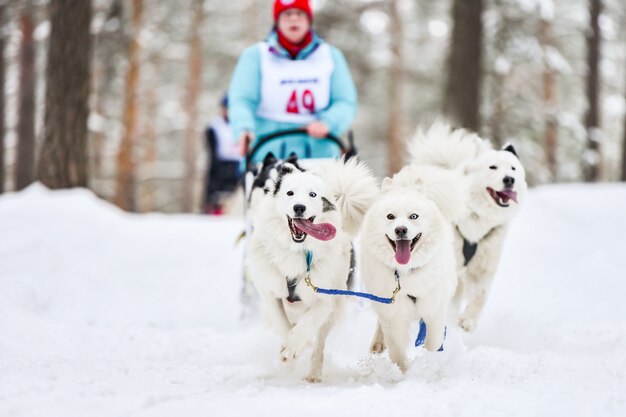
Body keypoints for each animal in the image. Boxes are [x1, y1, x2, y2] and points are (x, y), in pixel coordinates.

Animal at [358, 164, 466, 368]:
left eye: (413, 216)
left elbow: (433, 342)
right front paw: (404, 372)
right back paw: (378, 342)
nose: (401, 229)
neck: (406, 274)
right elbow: (398, 354)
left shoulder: (434, 309)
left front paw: (429, 362)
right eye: (390, 216)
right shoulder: (393, 314)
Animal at [408, 121, 524, 332]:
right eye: (493, 167)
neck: (478, 218)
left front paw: (467, 321)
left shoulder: (485, 267)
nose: (509, 179)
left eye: (513, 169)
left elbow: (480, 295)